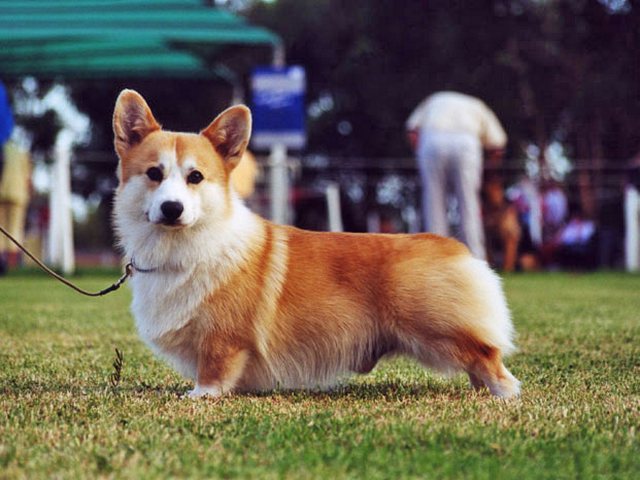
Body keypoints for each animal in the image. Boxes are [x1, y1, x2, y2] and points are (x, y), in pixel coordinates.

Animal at [111, 90, 520, 398]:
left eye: (195, 177)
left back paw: (504, 394)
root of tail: (458, 249)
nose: (172, 208)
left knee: (489, 358)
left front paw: (199, 396)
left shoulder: (223, 339)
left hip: (439, 331)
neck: (186, 247)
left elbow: (214, 371)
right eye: (154, 173)